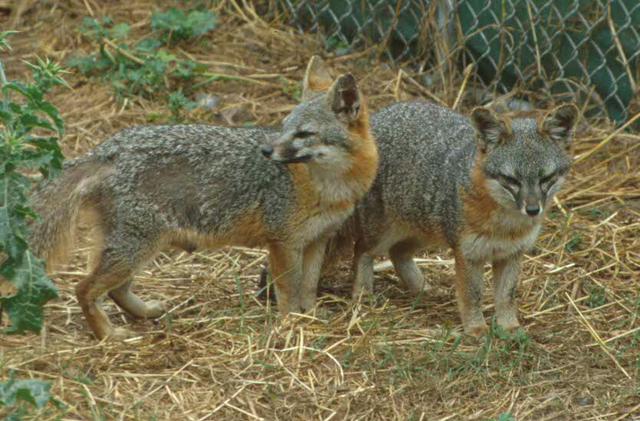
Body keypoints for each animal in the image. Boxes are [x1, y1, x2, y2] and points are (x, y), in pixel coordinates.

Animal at [30, 56, 378, 338]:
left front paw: (311, 316)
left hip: (143, 247)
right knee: (83, 288)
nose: (266, 151)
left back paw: (144, 313)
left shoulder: (317, 240)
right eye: (283, 128)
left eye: (304, 134)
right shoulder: (283, 242)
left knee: (116, 289)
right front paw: (291, 324)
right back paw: (109, 336)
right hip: (136, 247)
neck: (329, 188)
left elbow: (308, 286)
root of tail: (107, 149)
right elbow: (289, 291)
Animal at [350, 101, 580, 334]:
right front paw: (476, 328)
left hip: (425, 230)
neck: (506, 226)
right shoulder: (467, 253)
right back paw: (362, 294)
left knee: (398, 252)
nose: (533, 210)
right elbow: (472, 295)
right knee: (361, 249)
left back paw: (421, 288)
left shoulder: (512, 254)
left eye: (546, 178)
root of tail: (383, 114)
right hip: (383, 233)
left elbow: (507, 295)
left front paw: (509, 326)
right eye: (511, 180)